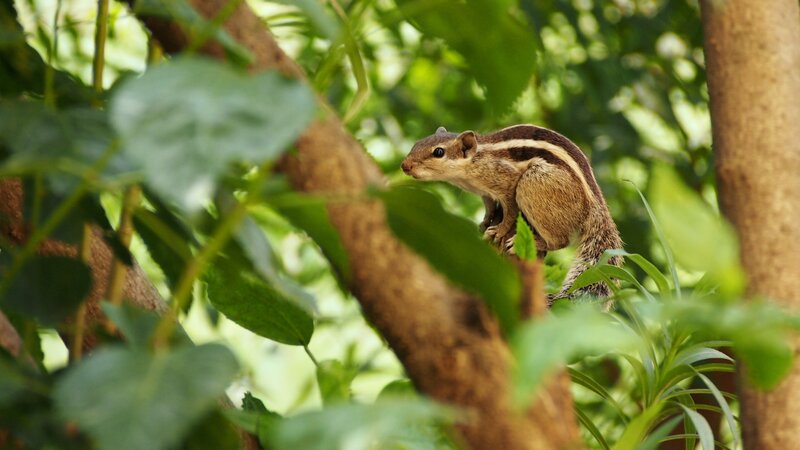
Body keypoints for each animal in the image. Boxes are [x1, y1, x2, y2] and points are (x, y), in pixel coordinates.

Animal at [400, 124, 623, 300]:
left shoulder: (508, 183)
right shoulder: (485, 193)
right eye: (418, 143)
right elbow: (490, 207)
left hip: (532, 184)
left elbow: (510, 212)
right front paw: (485, 222)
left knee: (561, 241)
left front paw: (498, 231)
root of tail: (595, 205)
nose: (404, 165)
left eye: (438, 152)